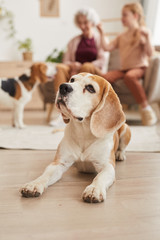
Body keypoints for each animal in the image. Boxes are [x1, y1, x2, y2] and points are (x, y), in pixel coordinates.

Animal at [20, 72, 131, 202]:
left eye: (90, 88)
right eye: (72, 80)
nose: (63, 87)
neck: (83, 133)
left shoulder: (107, 166)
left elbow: (99, 177)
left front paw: (94, 189)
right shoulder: (59, 163)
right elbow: (45, 175)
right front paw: (34, 184)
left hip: (126, 129)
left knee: (122, 147)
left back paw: (119, 154)